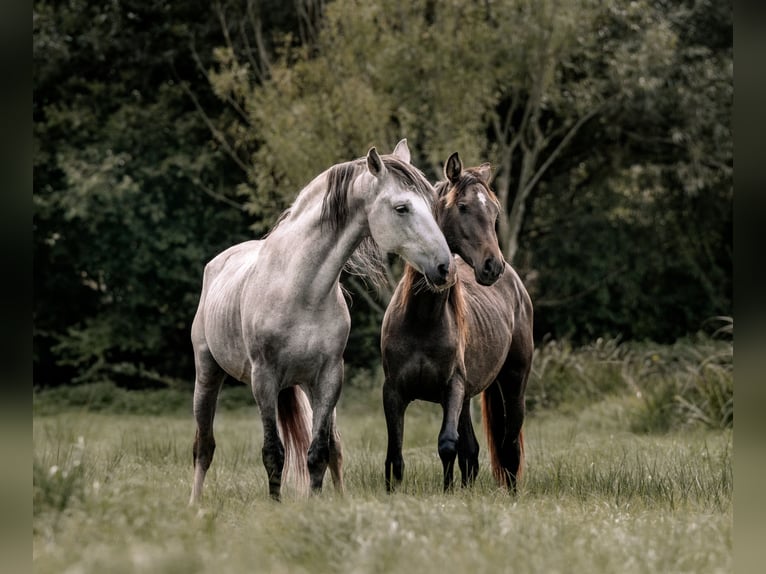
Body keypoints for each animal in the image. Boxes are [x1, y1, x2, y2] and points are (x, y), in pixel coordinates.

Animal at [190, 142, 456, 506]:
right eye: (401, 208)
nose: (445, 267)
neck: (301, 290)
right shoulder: (264, 379)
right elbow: (273, 453)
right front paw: (275, 506)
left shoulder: (329, 377)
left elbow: (319, 452)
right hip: (208, 374)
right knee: (204, 446)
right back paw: (194, 503)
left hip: (305, 386)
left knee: (335, 447)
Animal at [382, 153, 536, 496]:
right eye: (463, 206)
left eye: (494, 210)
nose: (492, 266)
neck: (422, 319)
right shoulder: (394, 391)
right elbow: (395, 453)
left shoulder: (452, 387)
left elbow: (447, 444)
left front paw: (447, 492)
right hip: (468, 398)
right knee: (473, 451)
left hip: (513, 381)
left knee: (509, 444)